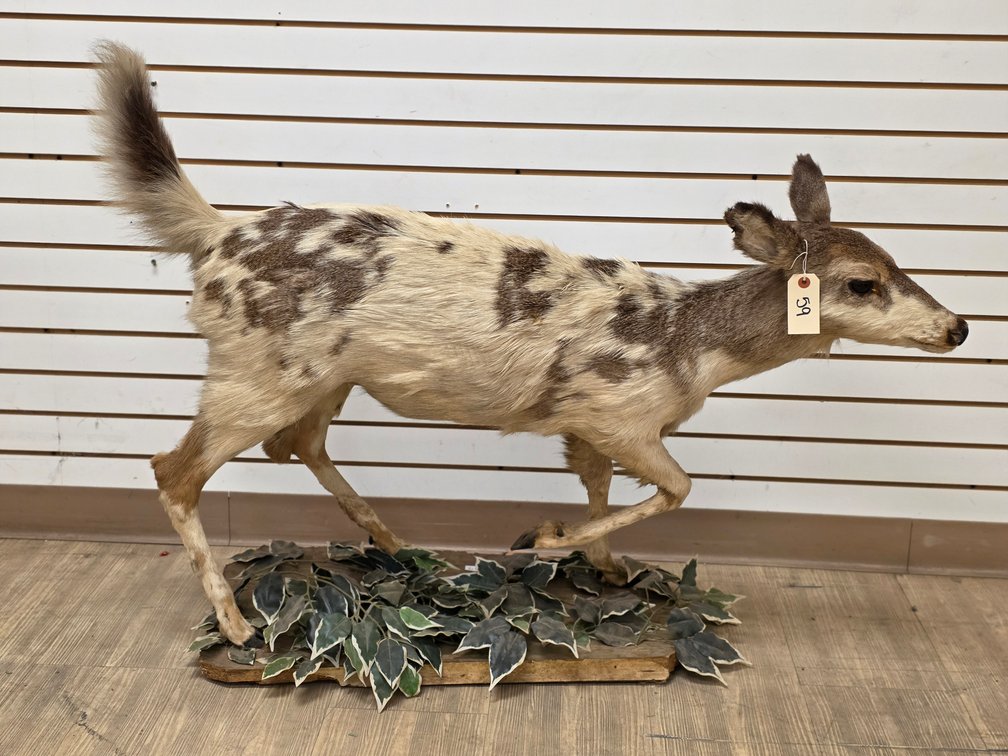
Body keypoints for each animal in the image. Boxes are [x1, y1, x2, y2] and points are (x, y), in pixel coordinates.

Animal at [93, 42, 968, 647]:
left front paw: (604, 565)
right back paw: (238, 623)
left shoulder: (586, 422)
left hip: (320, 376)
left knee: (295, 446)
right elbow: (677, 487)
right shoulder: (618, 407)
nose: (958, 326)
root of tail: (216, 238)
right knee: (174, 470)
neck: (688, 345)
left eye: (896, 259)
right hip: (255, 369)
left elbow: (600, 487)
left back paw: (403, 548)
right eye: (862, 283)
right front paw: (545, 540)